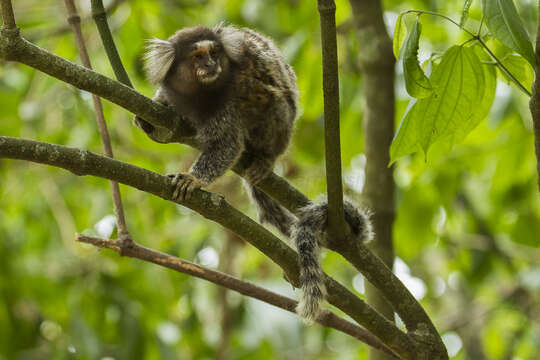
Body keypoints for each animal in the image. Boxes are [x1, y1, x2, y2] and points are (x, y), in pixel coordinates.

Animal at [135, 24, 374, 324]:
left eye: (214, 53)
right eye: (197, 56)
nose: (211, 64)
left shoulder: (225, 102)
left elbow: (227, 144)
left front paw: (194, 178)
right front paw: (147, 118)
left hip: (280, 126)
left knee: (272, 101)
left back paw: (264, 158)